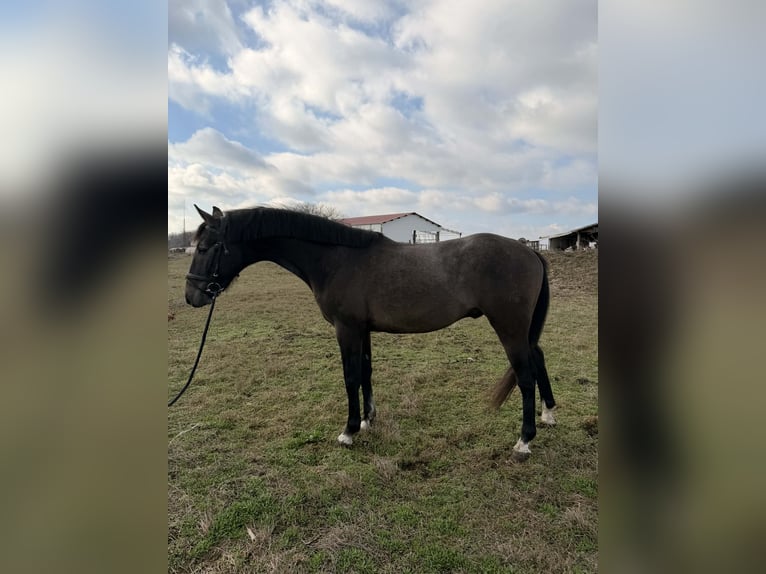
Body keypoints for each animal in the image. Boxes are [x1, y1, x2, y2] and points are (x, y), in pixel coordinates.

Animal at [185, 205, 557, 460]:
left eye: (204, 248)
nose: (191, 296)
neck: (336, 259)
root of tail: (529, 250)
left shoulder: (346, 329)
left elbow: (350, 376)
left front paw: (348, 432)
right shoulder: (362, 330)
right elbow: (366, 372)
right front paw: (367, 420)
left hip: (509, 327)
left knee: (525, 375)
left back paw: (524, 441)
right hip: (522, 330)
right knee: (538, 358)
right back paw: (549, 413)